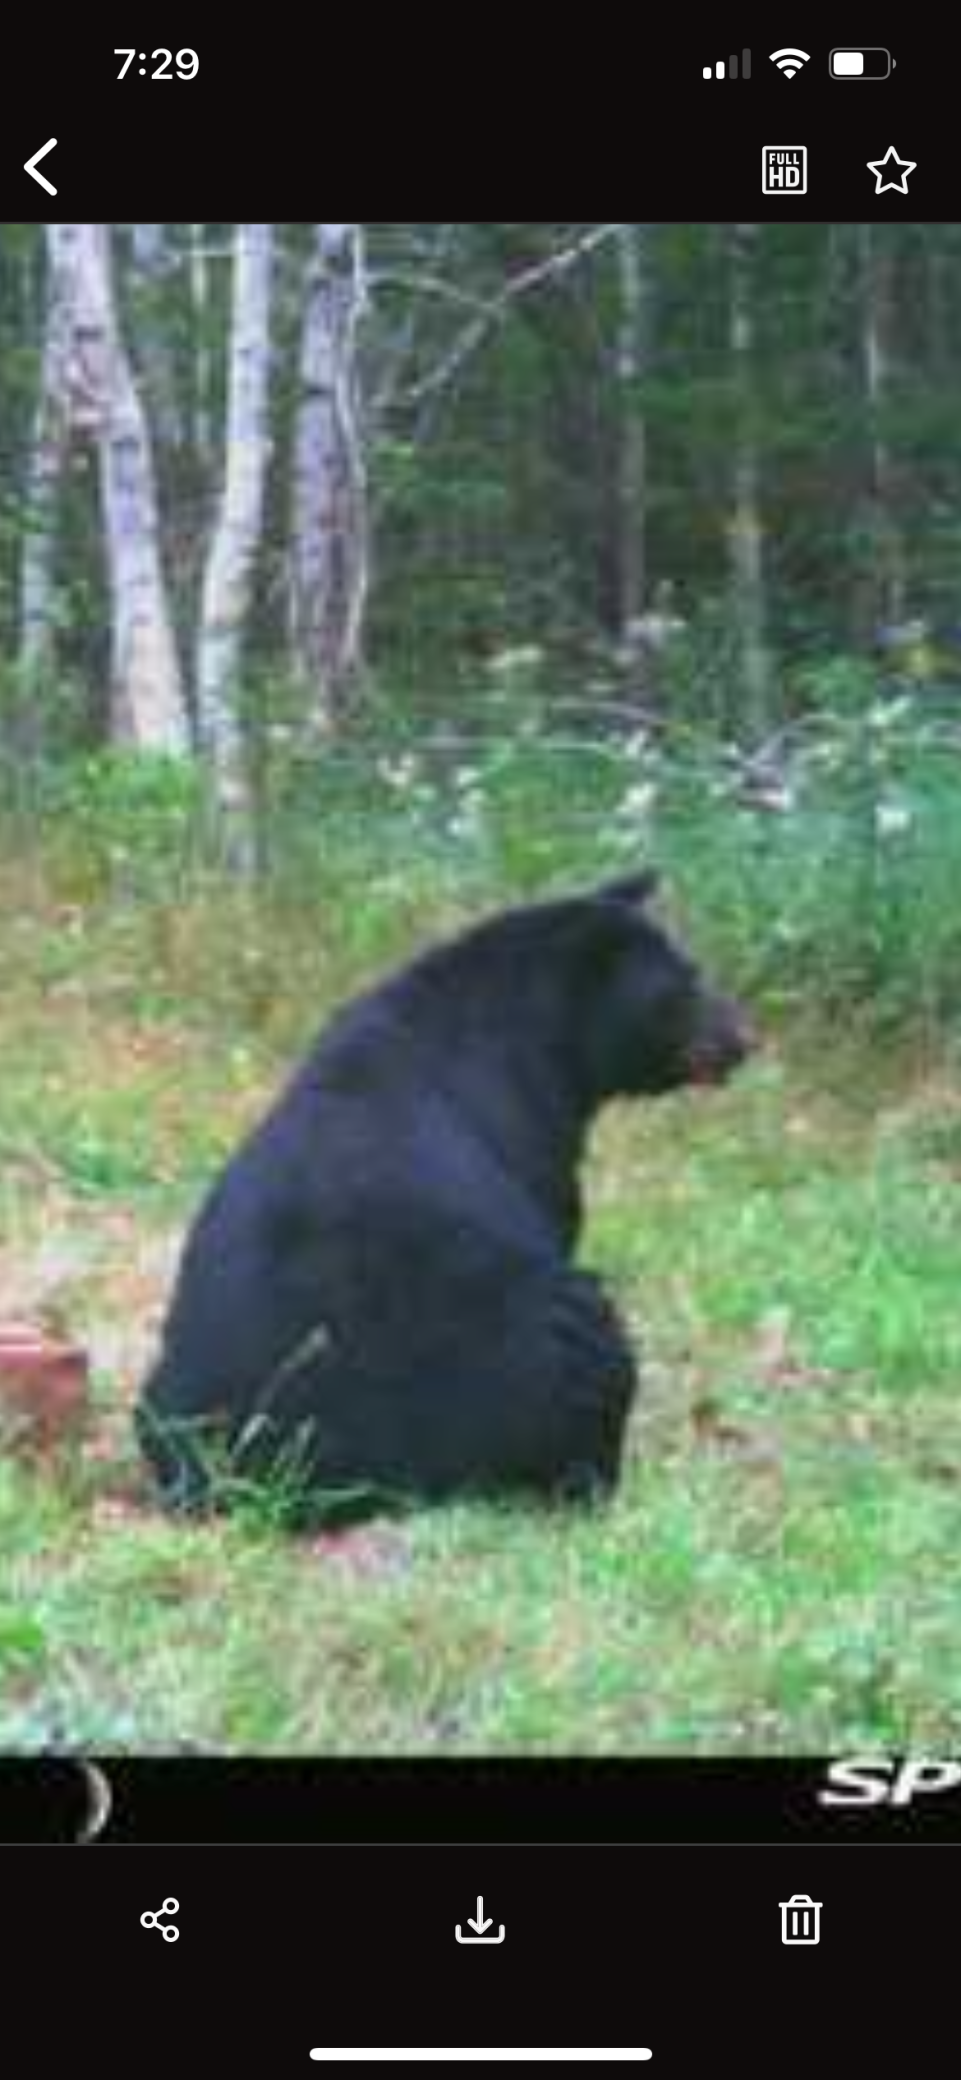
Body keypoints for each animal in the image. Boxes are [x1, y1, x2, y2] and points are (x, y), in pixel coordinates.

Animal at [136, 872, 752, 1521]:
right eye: (684, 984)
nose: (745, 1038)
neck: (539, 1040)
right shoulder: (524, 1130)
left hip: (158, 1401)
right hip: (512, 1355)